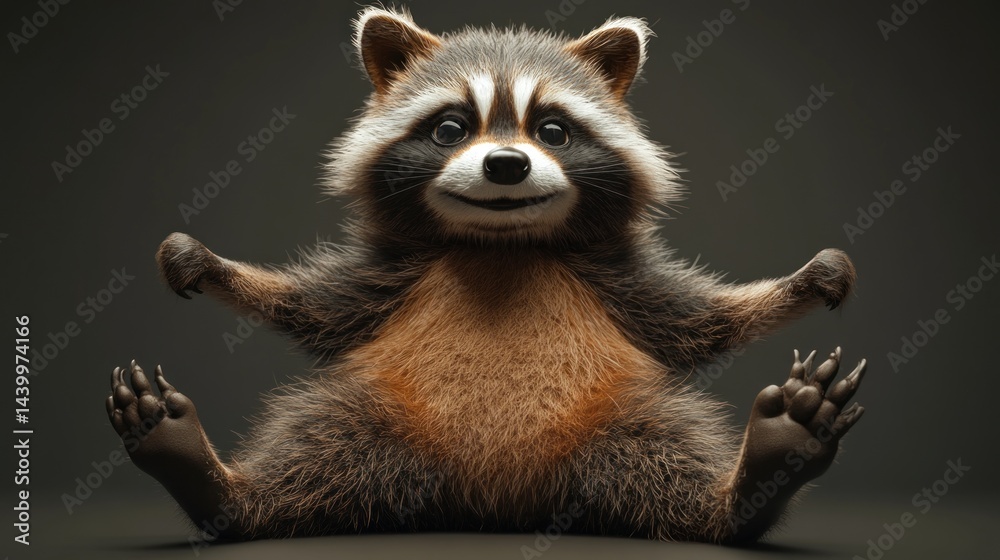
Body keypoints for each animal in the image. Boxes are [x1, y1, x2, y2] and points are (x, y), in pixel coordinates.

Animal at [106, 7, 867, 544]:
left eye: (553, 131)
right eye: (450, 128)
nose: (506, 165)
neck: (502, 245)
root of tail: (496, 498)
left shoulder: (615, 275)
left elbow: (702, 319)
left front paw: (800, 283)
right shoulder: (392, 272)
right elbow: (310, 304)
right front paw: (211, 265)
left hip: (617, 420)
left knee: (666, 457)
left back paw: (752, 482)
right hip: (378, 418)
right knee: (314, 448)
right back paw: (222, 489)